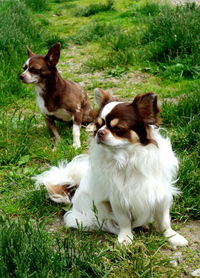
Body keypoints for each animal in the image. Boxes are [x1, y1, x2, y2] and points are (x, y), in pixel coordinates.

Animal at [33, 89, 188, 248]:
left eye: (118, 128)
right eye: (98, 125)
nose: (100, 132)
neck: (127, 157)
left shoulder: (159, 195)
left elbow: (164, 220)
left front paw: (172, 236)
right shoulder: (117, 199)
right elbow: (124, 221)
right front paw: (125, 238)